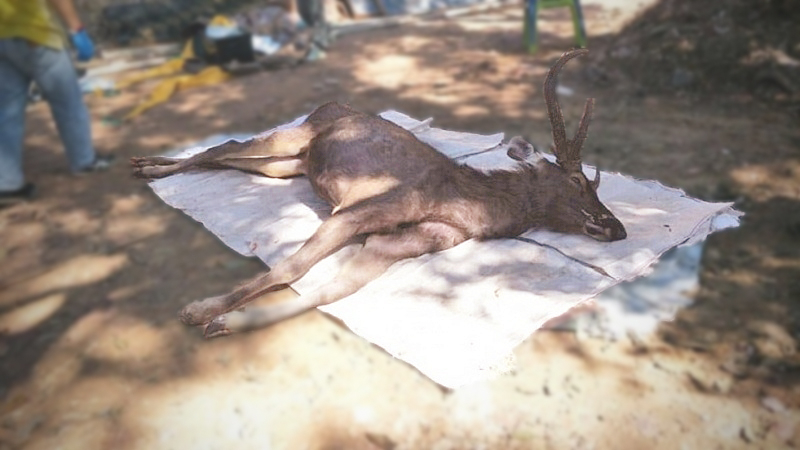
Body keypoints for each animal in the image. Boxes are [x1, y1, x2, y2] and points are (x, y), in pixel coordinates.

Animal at [131, 48, 626, 338]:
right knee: (227, 145)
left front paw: (225, 321)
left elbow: (328, 293)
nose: (616, 228)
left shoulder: (394, 243)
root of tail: (327, 106)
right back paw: (146, 168)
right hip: (296, 134)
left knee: (233, 158)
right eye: (578, 181)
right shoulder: (354, 213)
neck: (465, 206)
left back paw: (150, 167)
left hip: (294, 165)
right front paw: (198, 310)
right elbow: (289, 269)